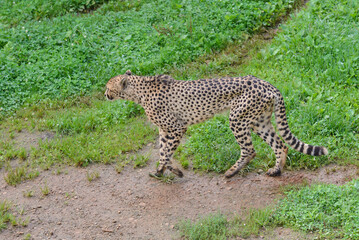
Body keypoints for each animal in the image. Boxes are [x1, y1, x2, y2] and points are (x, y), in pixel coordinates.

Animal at [105, 70, 330, 178]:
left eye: (108, 87)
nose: (105, 94)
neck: (138, 91)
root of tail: (267, 83)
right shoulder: (165, 130)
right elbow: (162, 151)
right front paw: (161, 171)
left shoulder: (177, 128)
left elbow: (165, 153)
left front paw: (173, 171)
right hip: (260, 121)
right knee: (280, 145)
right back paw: (276, 171)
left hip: (237, 118)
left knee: (250, 150)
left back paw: (232, 172)